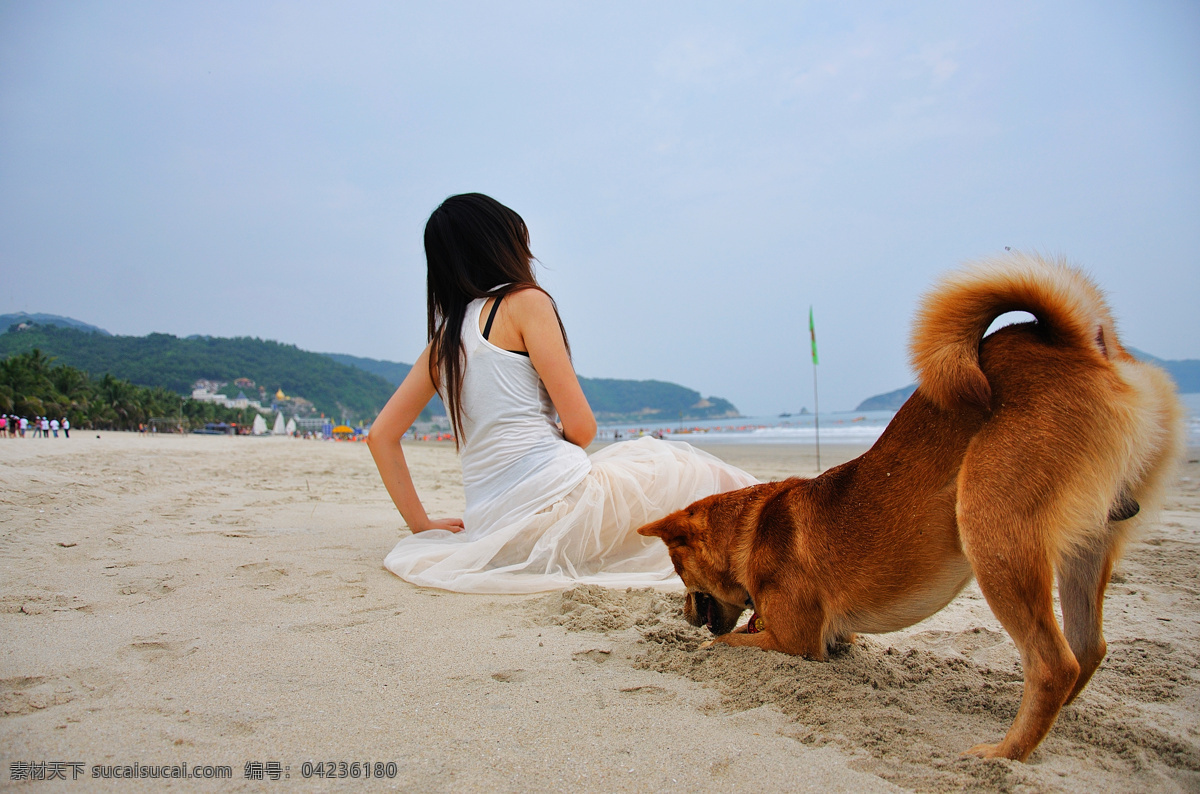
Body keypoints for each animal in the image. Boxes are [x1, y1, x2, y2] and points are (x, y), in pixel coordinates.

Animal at [638, 256, 1180, 767]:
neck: (749, 532)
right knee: (1086, 649)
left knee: (1054, 664)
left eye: (677, 570)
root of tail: (1078, 346)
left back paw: (1004, 753)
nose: (682, 614)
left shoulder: (796, 641)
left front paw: (706, 644)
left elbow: (728, 643)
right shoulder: (835, 636)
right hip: (1086, 545)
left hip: (989, 530)